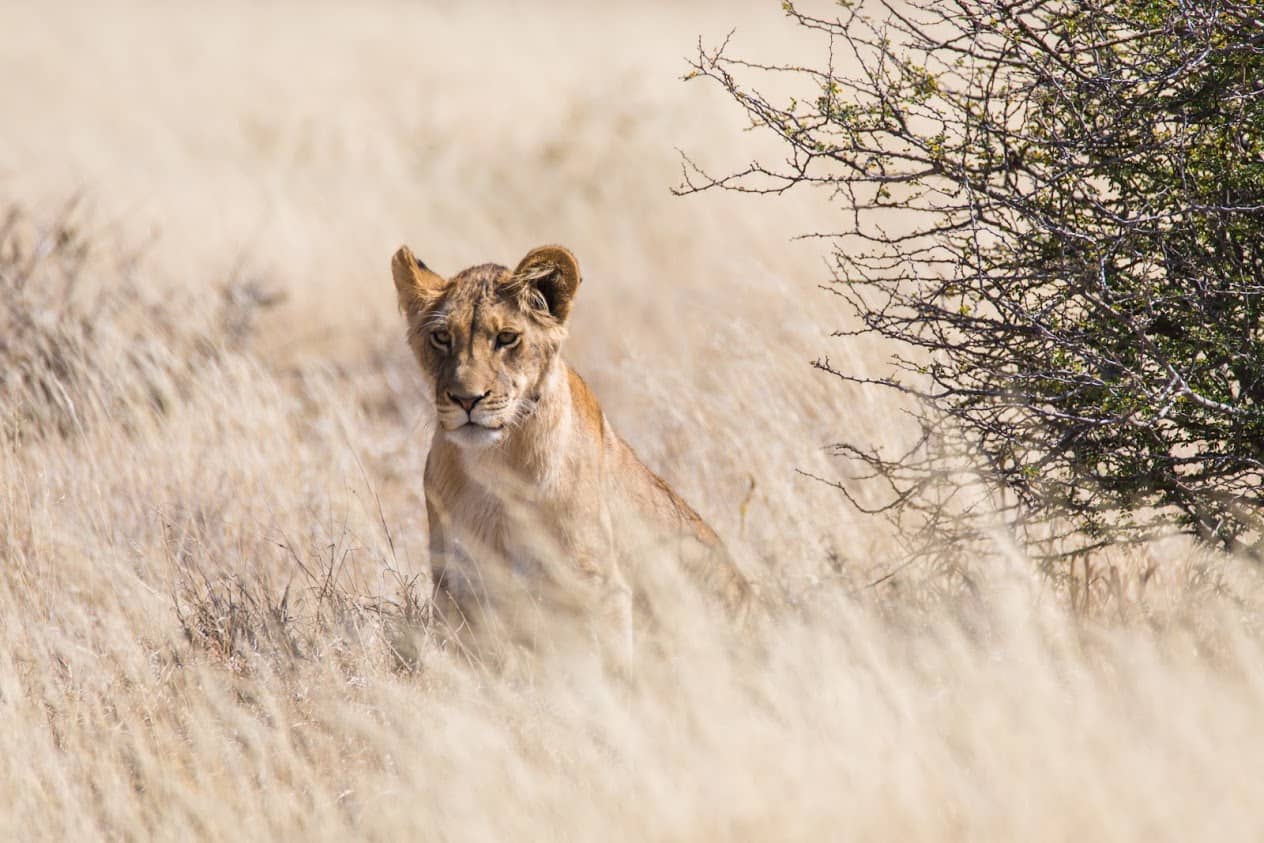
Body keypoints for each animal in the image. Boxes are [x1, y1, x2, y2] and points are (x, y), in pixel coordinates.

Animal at [391, 243, 751, 658]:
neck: (493, 465)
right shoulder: (457, 585)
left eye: (507, 337)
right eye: (441, 337)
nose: (467, 399)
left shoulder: (600, 586)